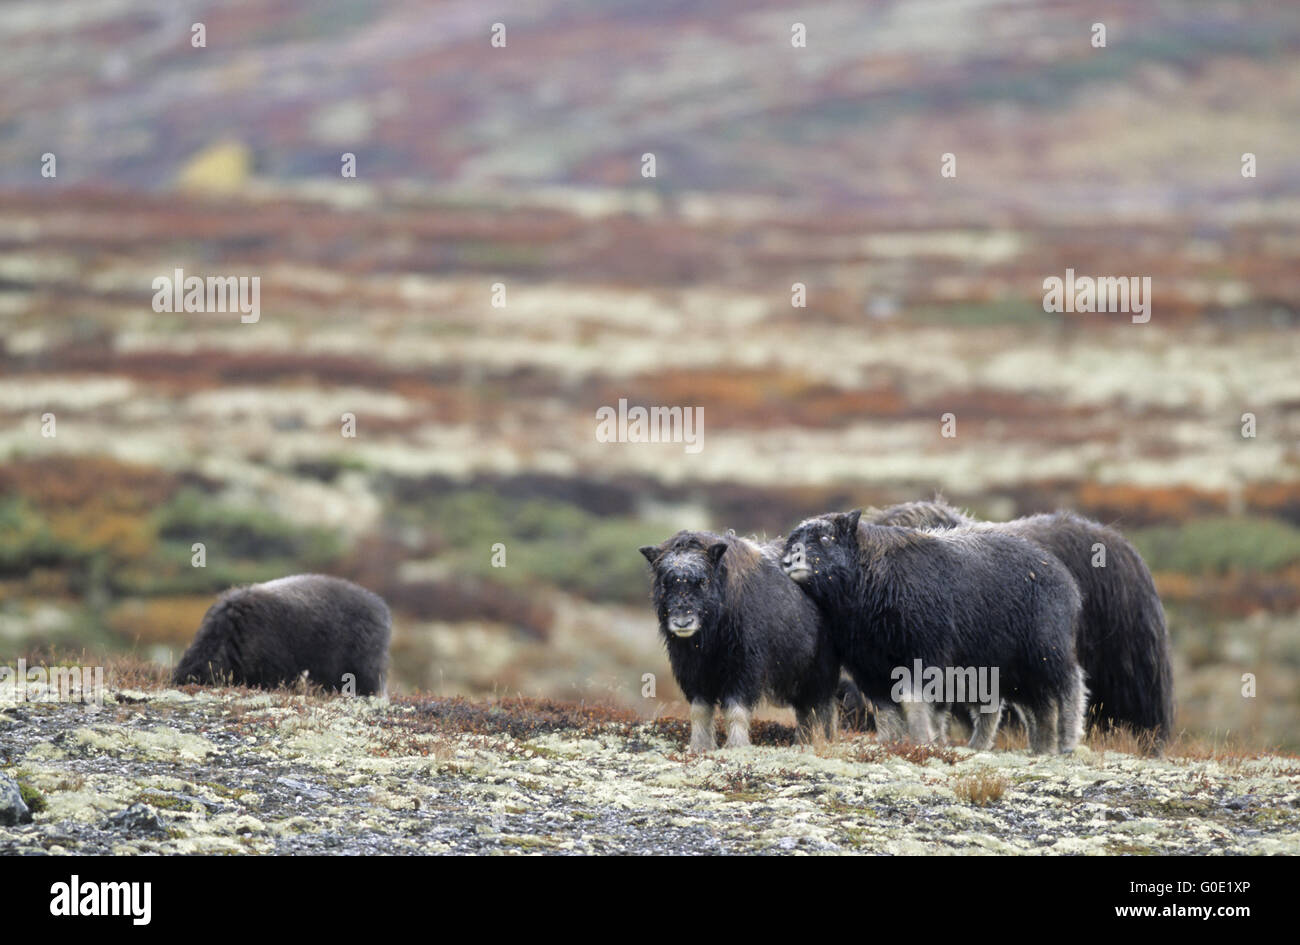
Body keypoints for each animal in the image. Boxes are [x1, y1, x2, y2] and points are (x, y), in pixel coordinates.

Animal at [642, 532, 842, 753]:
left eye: (702, 581)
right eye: (665, 582)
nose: (682, 622)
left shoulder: (744, 667)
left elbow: (735, 709)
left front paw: (736, 746)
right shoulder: (693, 671)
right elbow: (699, 711)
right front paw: (699, 747)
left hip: (819, 672)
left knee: (820, 707)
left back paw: (820, 741)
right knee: (806, 710)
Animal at [780, 509, 1086, 753]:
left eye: (825, 538)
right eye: (793, 540)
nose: (789, 562)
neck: (871, 580)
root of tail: (1062, 575)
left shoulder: (923, 656)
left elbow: (913, 700)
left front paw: (921, 741)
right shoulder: (870, 667)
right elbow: (886, 710)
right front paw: (891, 743)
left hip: (1045, 654)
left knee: (1069, 689)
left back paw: (1066, 744)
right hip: (1009, 671)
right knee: (1030, 706)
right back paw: (1030, 747)